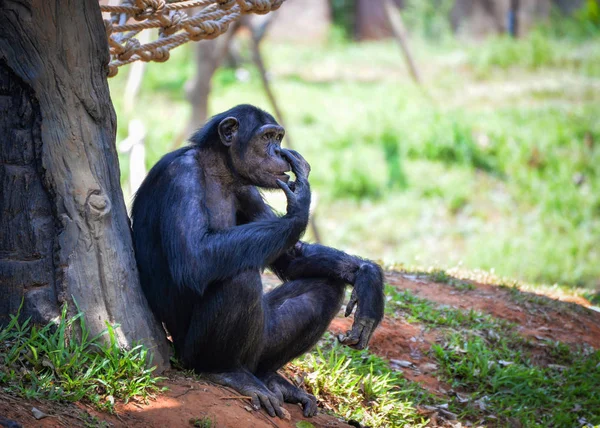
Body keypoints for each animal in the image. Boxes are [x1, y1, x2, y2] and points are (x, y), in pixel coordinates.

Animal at [131, 103, 384, 418]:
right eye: (266, 138)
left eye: (278, 137)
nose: (279, 151)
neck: (219, 171)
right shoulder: (181, 176)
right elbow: (194, 258)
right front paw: (301, 199)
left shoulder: (247, 190)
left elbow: (291, 257)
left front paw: (368, 278)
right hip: (191, 353)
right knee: (239, 279)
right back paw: (226, 372)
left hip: (262, 346)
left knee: (326, 287)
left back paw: (272, 379)